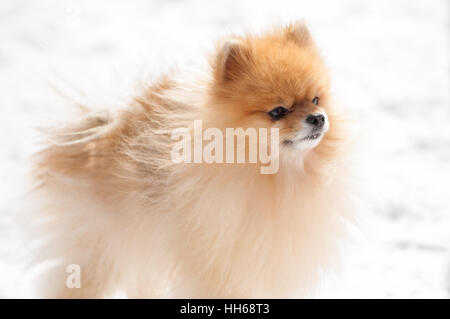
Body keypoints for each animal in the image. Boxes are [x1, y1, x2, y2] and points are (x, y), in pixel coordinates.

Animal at [29, 21, 356, 298]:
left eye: (316, 99)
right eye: (278, 111)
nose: (317, 118)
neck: (274, 174)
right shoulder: (218, 266)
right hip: (98, 253)